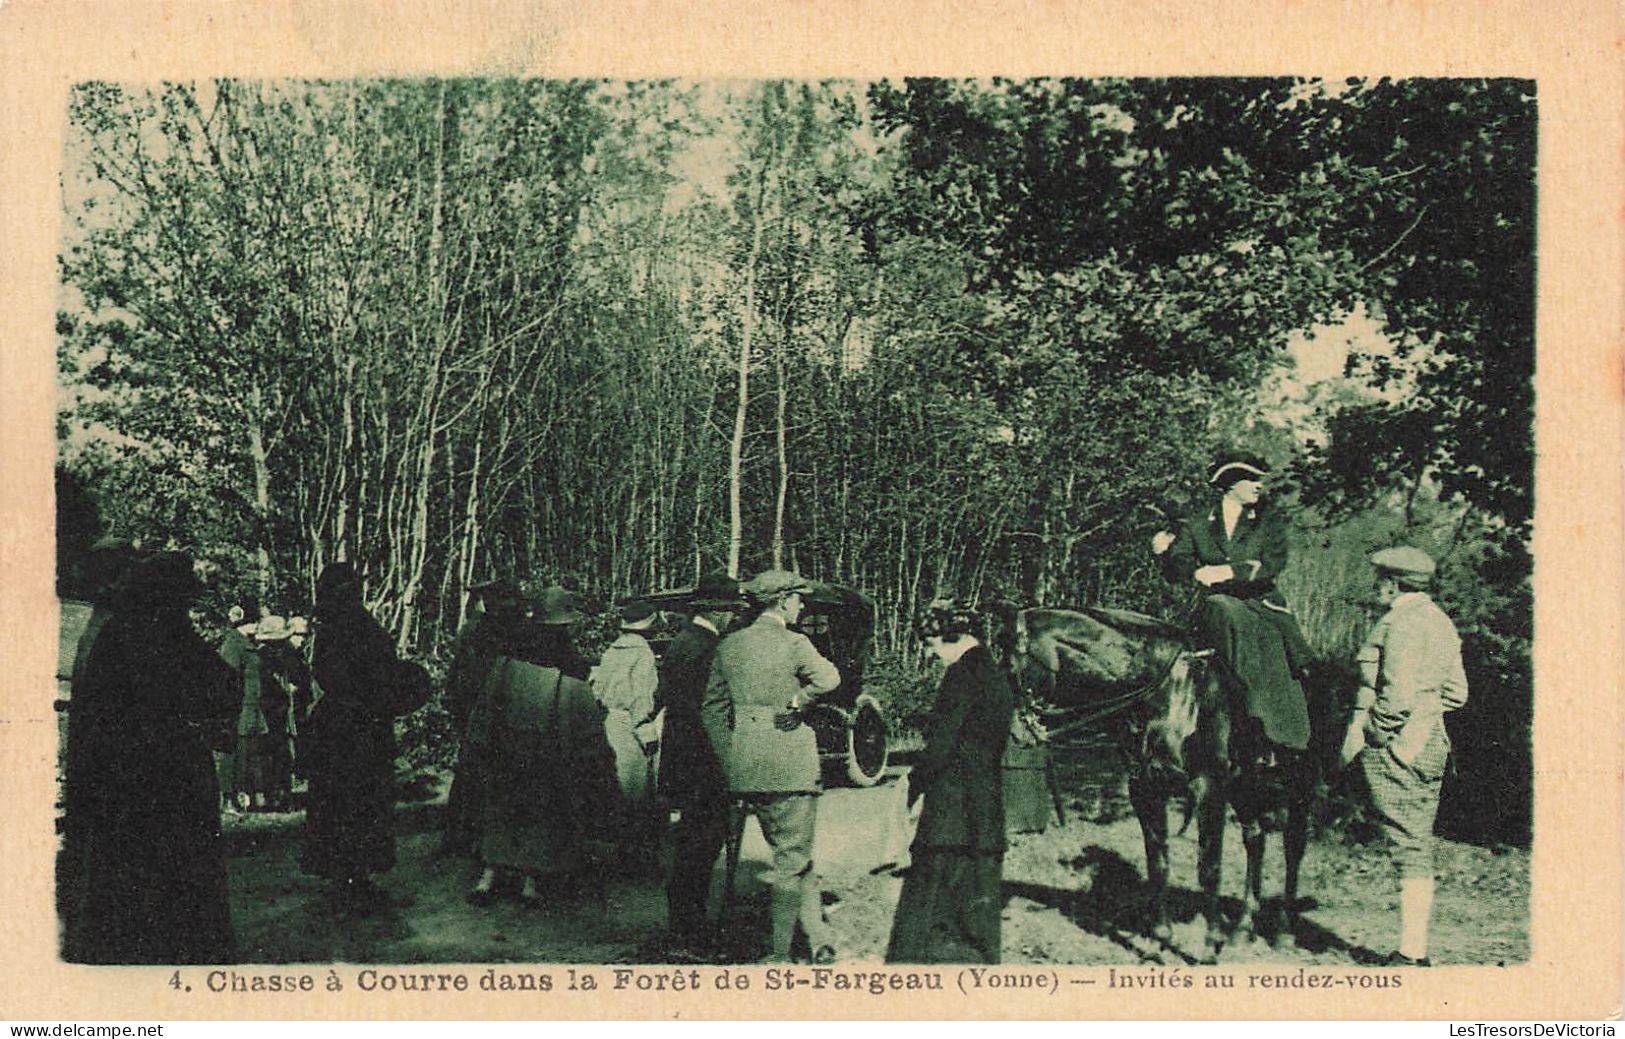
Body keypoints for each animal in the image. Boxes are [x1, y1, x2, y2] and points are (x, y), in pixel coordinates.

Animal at [1014, 604, 1319, 962]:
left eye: (1014, 665)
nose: (1019, 731)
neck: (1169, 695)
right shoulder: (1146, 788)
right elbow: (1157, 863)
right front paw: (1159, 939)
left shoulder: (1209, 788)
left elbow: (1209, 868)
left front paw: (1208, 946)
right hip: (1245, 787)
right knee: (1255, 839)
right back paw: (1242, 929)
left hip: (1300, 789)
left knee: (1293, 849)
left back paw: (1283, 931)